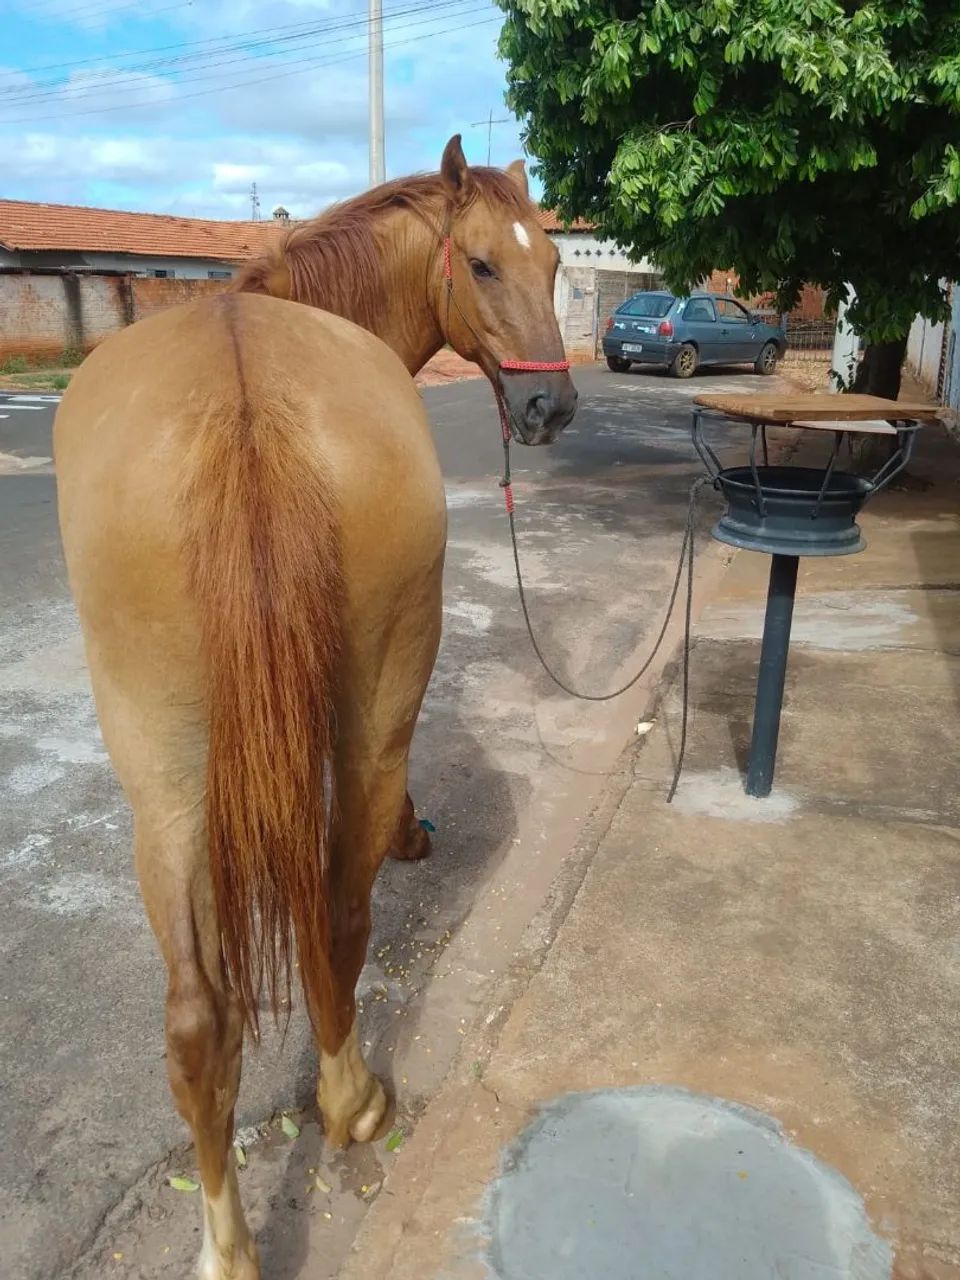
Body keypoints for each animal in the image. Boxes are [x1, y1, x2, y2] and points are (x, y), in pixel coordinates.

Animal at [53, 135, 576, 1279]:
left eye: (559, 264)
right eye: (482, 264)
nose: (553, 412)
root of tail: (245, 402)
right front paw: (415, 831)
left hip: (163, 783)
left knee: (199, 1020)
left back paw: (229, 1245)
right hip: (373, 704)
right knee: (337, 909)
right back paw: (351, 1102)